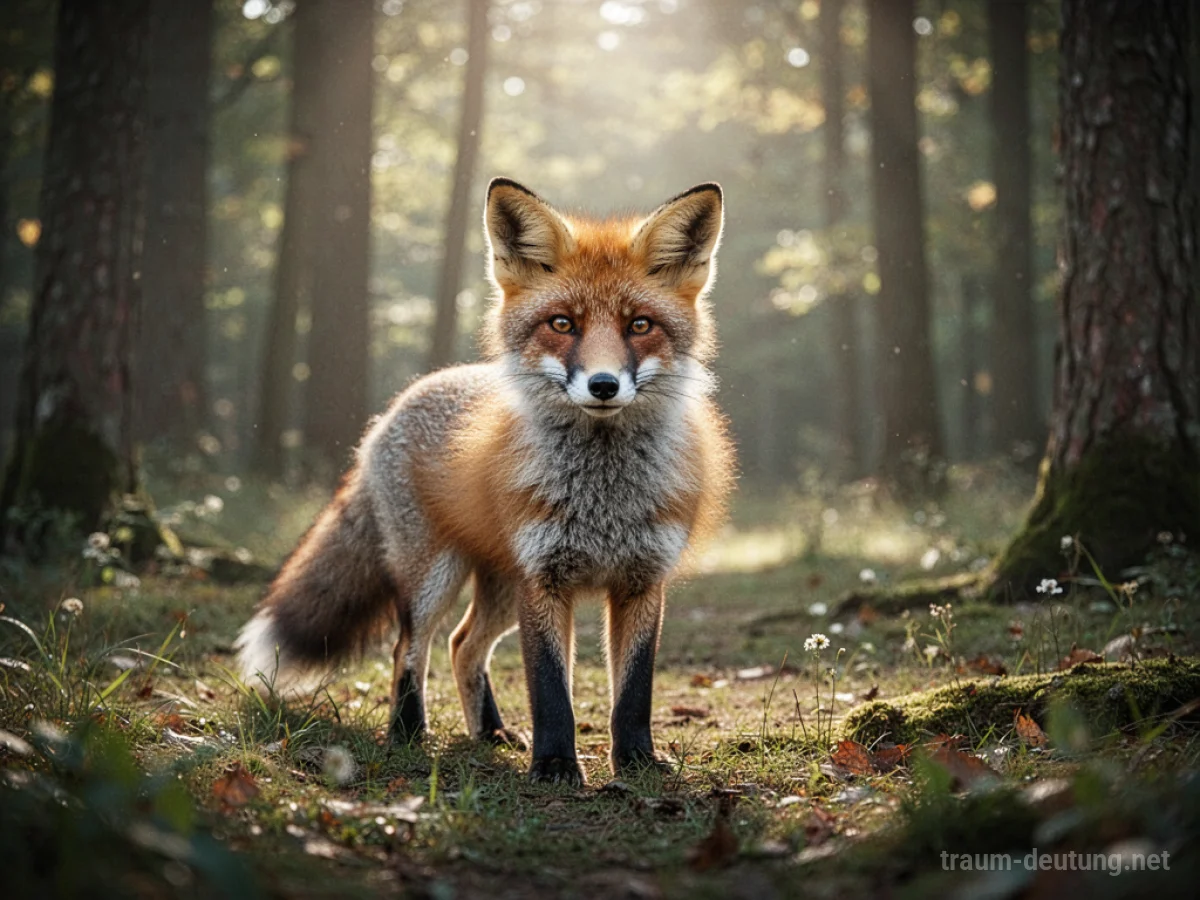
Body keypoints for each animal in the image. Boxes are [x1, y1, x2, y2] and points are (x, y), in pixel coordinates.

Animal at [236, 177, 734, 785]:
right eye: (562, 323)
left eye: (639, 325)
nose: (603, 385)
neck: (602, 497)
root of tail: (399, 404)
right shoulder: (543, 580)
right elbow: (550, 689)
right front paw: (554, 766)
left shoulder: (641, 580)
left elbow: (634, 691)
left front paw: (637, 762)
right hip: (435, 576)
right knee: (411, 647)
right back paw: (408, 734)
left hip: (498, 589)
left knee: (463, 645)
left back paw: (490, 731)